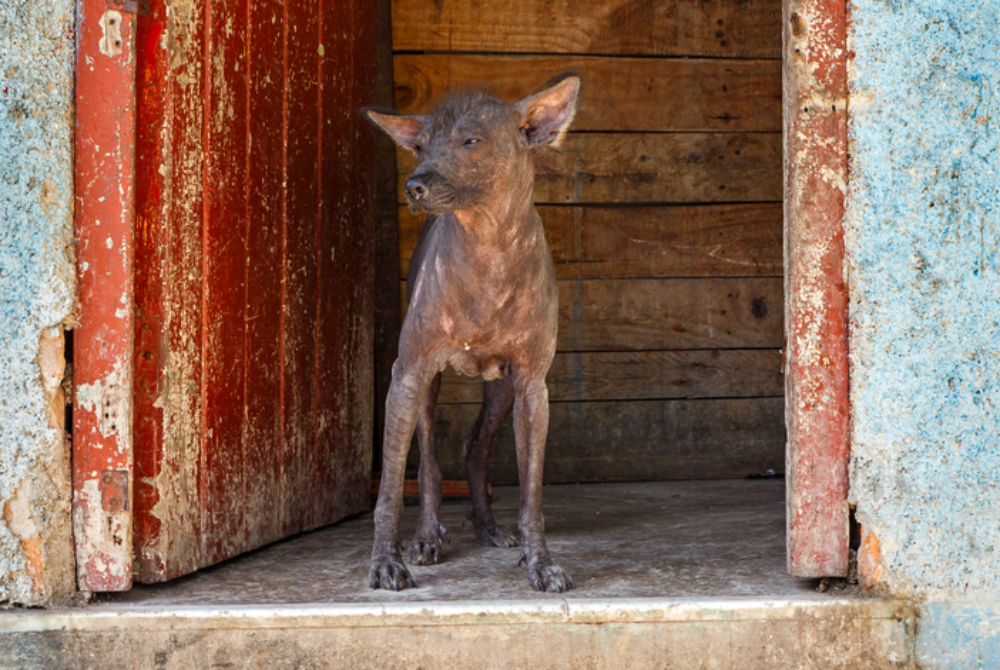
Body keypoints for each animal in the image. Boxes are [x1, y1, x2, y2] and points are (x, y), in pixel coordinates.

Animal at [364, 76, 584, 596]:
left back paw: (486, 525)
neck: (490, 250)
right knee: (427, 462)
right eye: (421, 145)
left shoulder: (532, 386)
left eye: (471, 141)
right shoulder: (407, 373)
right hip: (425, 386)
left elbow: (531, 494)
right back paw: (427, 536)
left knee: (475, 447)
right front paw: (386, 561)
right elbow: (391, 488)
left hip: (502, 389)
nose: (414, 185)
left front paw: (540, 563)